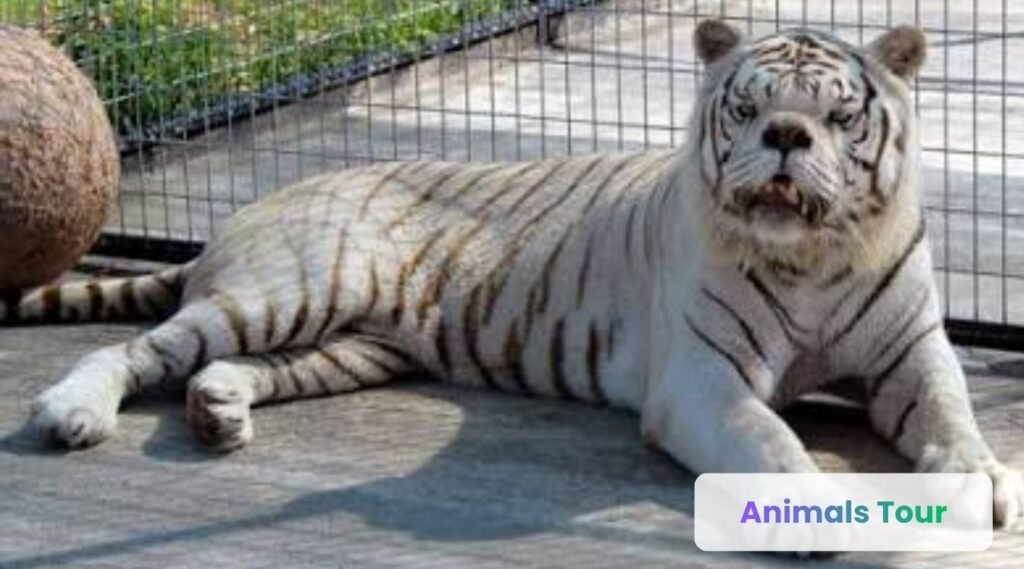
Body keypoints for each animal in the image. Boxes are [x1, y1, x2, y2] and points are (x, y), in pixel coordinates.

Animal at [3, 19, 1022, 528]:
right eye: (748, 106)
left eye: (838, 115)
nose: (784, 137)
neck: (813, 252)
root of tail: (245, 211)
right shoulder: (704, 377)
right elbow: (771, 440)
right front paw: (815, 511)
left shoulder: (910, 352)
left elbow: (953, 415)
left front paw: (986, 480)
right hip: (289, 290)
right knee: (140, 349)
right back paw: (72, 412)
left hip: (353, 343)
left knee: (220, 368)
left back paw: (219, 412)